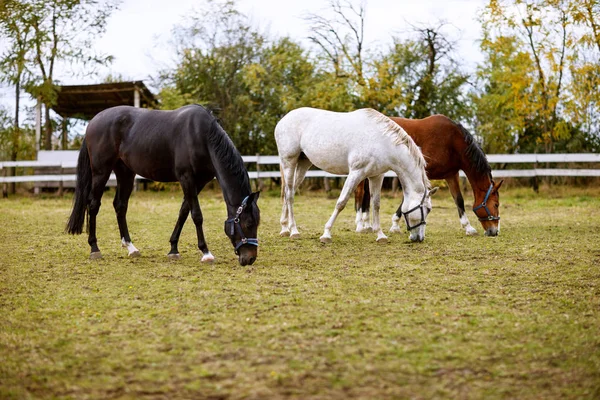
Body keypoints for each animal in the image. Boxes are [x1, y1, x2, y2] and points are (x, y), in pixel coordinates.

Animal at [65, 104, 260, 266]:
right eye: (249, 224)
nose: (250, 258)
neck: (201, 136)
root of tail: (93, 121)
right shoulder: (187, 178)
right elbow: (196, 215)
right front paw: (206, 252)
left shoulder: (199, 181)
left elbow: (184, 211)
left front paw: (173, 249)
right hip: (101, 171)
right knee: (93, 204)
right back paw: (94, 248)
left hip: (125, 172)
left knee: (120, 206)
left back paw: (131, 247)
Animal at [274, 107, 438, 244]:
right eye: (428, 209)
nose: (419, 238)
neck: (381, 141)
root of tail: (283, 120)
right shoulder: (356, 172)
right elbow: (341, 202)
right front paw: (326, 234)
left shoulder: (377, 176)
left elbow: (376, 204)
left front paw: (380, 235)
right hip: (289, 162)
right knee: (289, 195)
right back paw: (294, 231)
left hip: (303, 163)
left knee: (289, 192)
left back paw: (284, 228)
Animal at [354, 114, 504, 236]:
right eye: (496, 205)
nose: (494, 231)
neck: (452, 142)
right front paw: (395, 225)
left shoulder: (451, 175)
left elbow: (459, 200)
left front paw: (468, 227)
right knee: (361, 193)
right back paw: (362, 225)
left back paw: (367, 224)